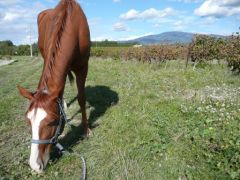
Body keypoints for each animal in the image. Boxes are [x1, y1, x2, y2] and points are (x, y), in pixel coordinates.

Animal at [16, 0, 90, 172]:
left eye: (51, 122)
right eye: (28, 121)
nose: (35, 165)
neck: (72, 25)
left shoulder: (83, 67)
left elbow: (82, 98)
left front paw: (86, 129)